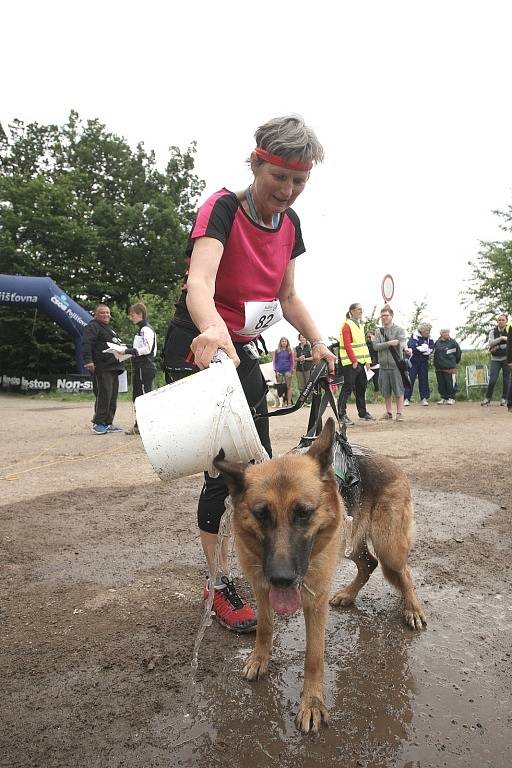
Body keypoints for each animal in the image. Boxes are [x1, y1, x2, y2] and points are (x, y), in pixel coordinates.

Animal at [212, 416, 424, 736]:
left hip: (390, 548)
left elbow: (313, 655)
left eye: (303, 513)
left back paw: (412, 609)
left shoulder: (314, 601)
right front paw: (260, 659)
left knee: (404, 572)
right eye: (261, 515)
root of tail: (391, 463)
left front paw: (312, 703)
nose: (282, 579)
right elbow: (265, 627)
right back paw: (348, 594)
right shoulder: (261, 588)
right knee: (368, 565)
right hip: (351, 541)